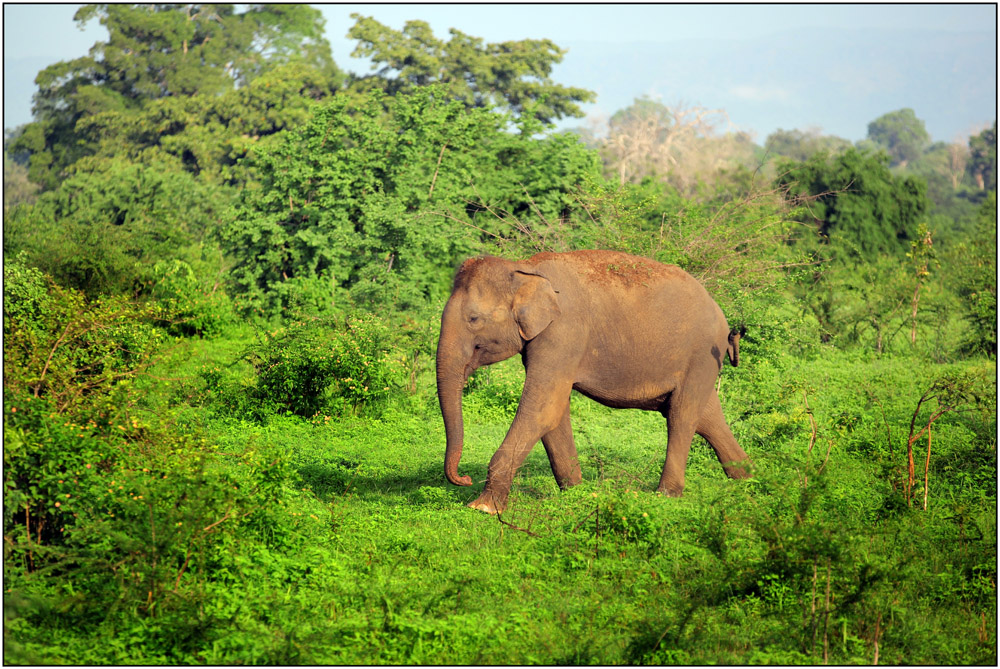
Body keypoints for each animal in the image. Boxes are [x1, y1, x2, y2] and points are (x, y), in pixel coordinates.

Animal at [436, 248, 752, 516]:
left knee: (681, 416)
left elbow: (542, 409)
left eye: (473, 319)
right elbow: (553, 412)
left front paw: (482, 507)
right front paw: (578, 492)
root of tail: (722, 316)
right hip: (701, 363)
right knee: (707, 416)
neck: (525, 267)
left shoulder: (564, 331)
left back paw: (666, 495)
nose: (464, 478)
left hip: (700, 355)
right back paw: (749, 480)